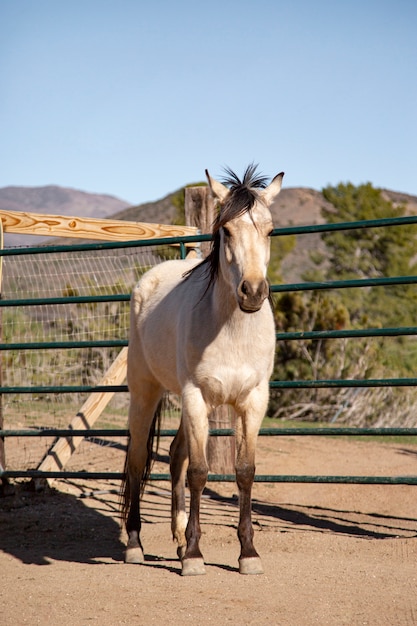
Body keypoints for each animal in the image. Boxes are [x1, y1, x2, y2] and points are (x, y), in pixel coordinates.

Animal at [120, 163, 282, 572]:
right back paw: (135, 544)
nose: (253, 292)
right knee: (138, 461)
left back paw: (177, 539)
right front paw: (194, 555)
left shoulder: (252, 402)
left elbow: (244, 472)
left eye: (270, 230)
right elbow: (198, 472)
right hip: (146, 393)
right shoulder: (195, 396)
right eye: (226, 230)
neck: (231, 331)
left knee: (175, 454)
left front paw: (248, 553)